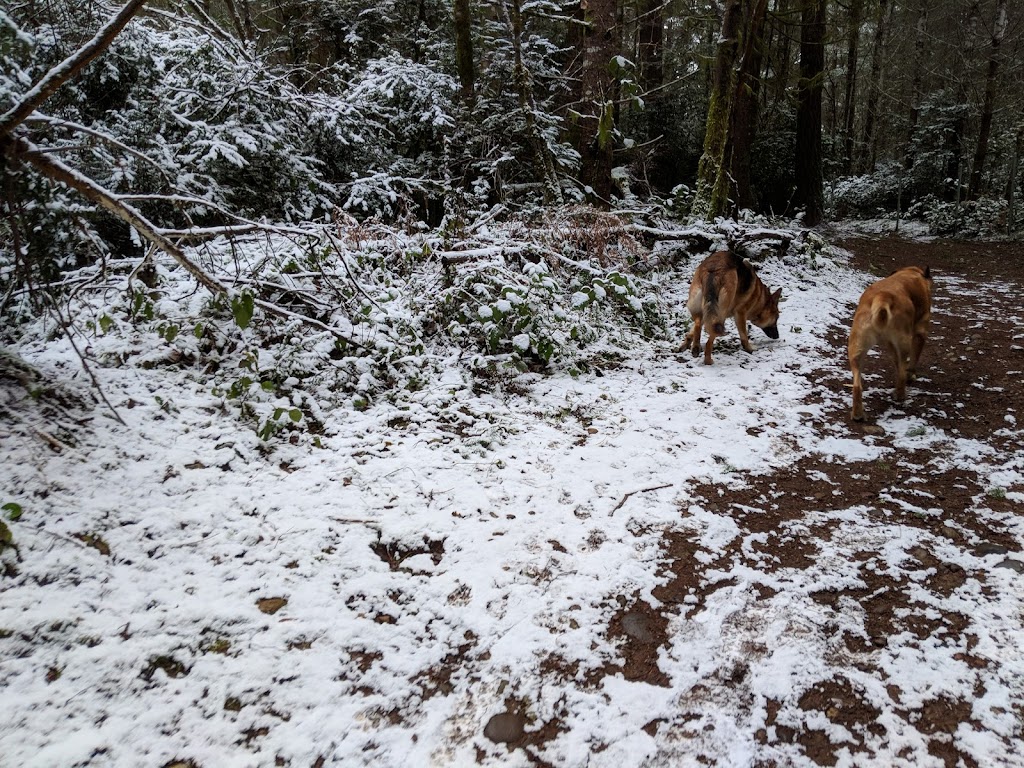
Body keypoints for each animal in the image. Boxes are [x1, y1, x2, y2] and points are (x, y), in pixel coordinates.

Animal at [847, 264, 937, 421]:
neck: (911, 273)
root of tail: (883, 296)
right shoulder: (920, 332)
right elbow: (912, 361)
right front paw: (911, 375)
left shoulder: (890, 343)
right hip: (904, 342)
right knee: (901, 373)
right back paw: (900, 396)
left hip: (856, 347)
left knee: (857, 385)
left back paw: (858, 414)